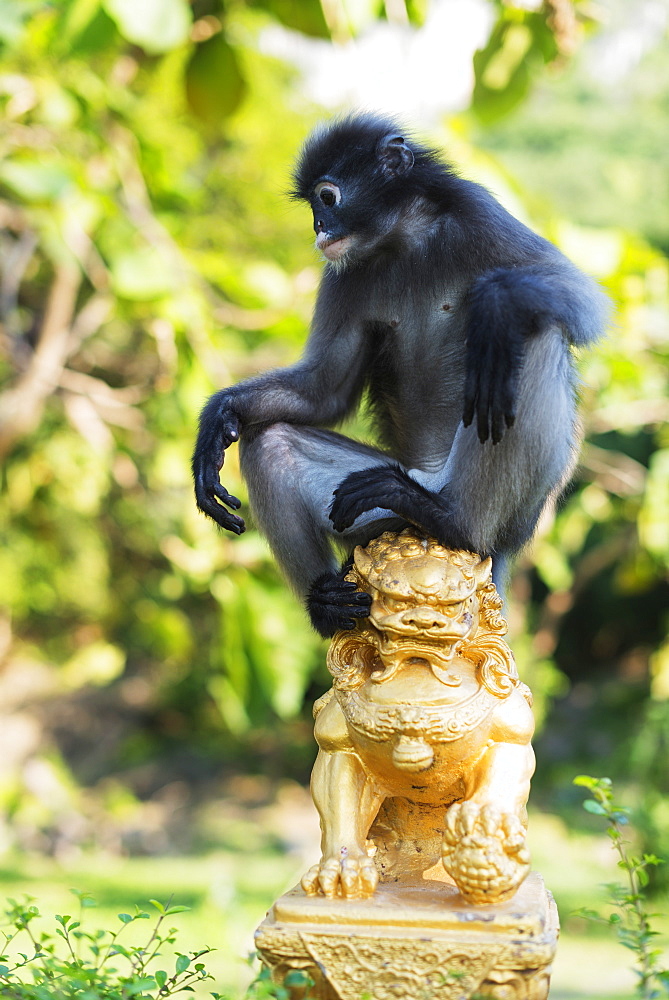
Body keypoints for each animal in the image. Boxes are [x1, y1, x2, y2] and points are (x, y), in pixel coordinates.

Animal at [190, 115, 608, 632]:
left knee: (529, 335)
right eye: (313, 206)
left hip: (511, 511)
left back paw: (454, 520)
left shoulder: (477, 214)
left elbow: (585, 302)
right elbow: (323, 391)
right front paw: (218, 421)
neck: (406, 239)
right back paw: (325, 605)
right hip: (372, 514)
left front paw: (494, 302)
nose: (318, 227)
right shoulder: (343, 273)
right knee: (272, 444)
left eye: (327, 197)